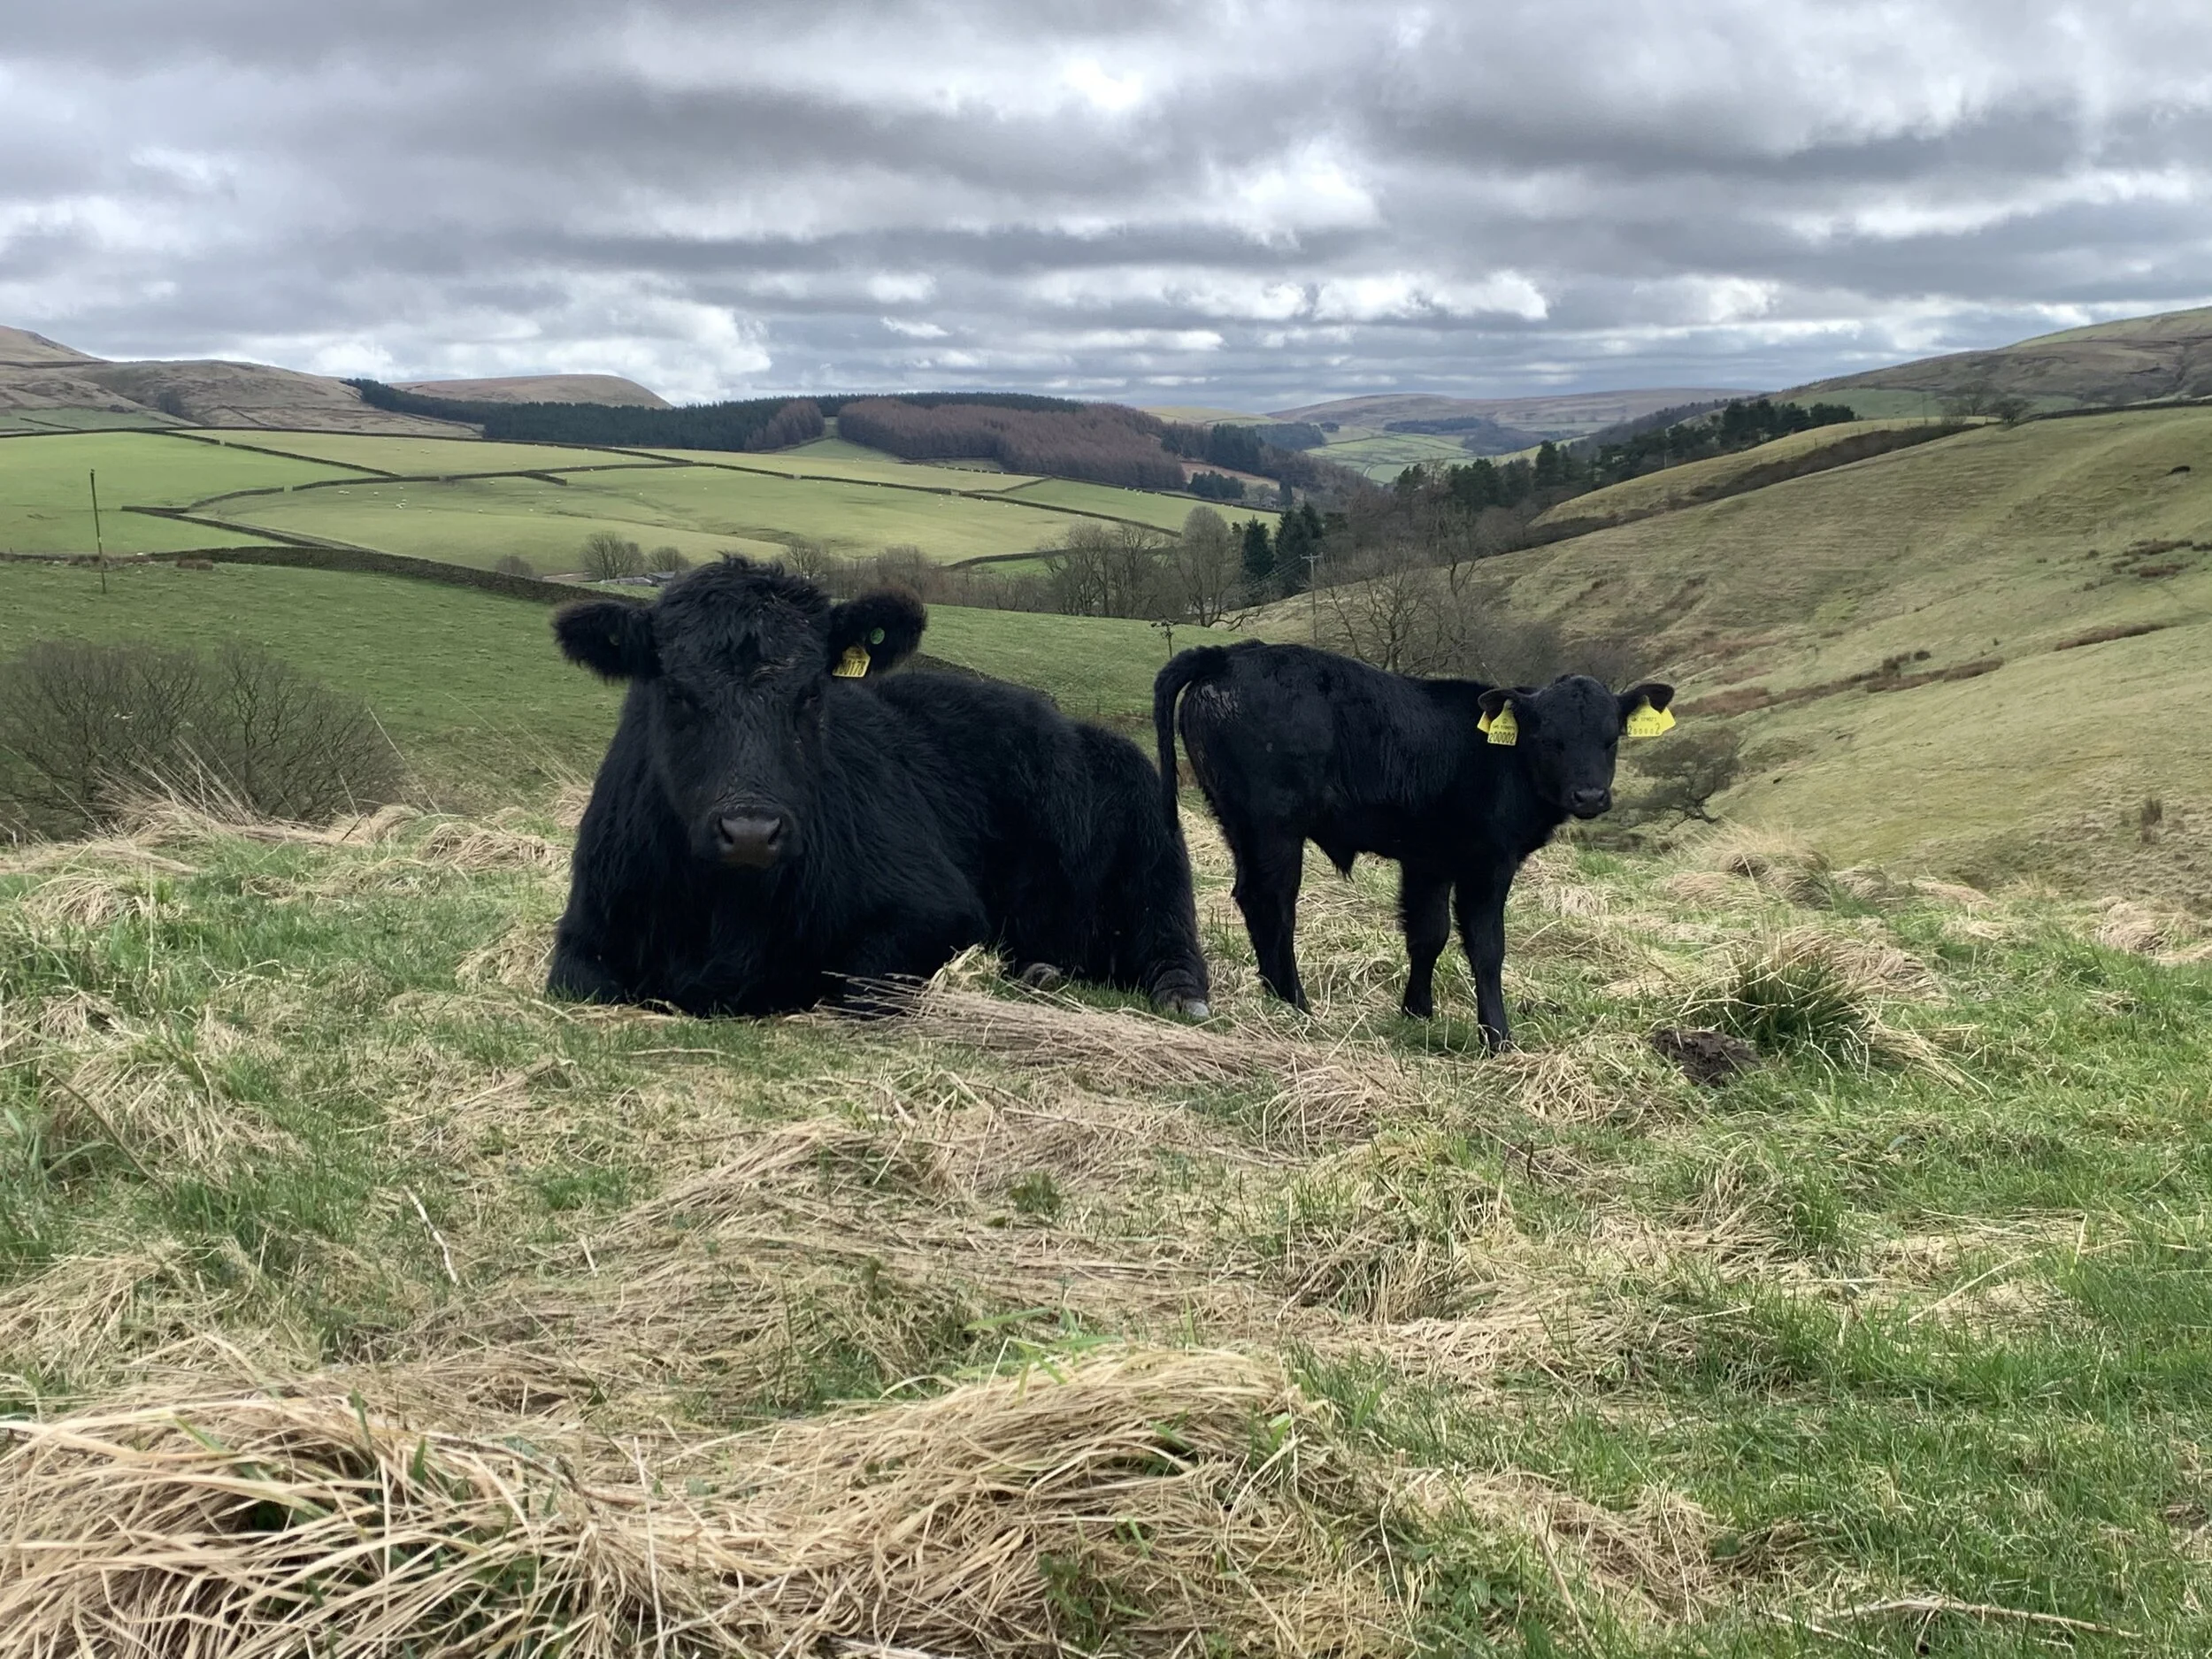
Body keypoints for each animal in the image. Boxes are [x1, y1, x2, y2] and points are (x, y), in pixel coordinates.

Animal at [550, 557, 1211, 1018]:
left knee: (1170, 938)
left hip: (1154, 842)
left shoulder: (936, 909)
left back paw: (1172, 992)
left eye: (812, 691)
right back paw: (1038, 969)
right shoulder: (584, 935)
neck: (729, 915)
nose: (751, 831)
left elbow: (857, 982)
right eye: (677, 692)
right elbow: (581, 982)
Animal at [1154, 641, 1673, 1051]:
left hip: (1240, 822)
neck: (1503, 757)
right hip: (1275, 826)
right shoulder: (1488, 863)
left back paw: (1275, 994)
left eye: (1610, 738)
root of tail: (1229, 654)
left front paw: (1417, 1011)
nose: (1589, 795)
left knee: (1251, 897)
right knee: (1274, 903)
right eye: (1551, 739)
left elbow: (1429, 934)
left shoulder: (1429, 861)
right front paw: (1498, 1037)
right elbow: (1487, 947)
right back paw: (1294, 1002)